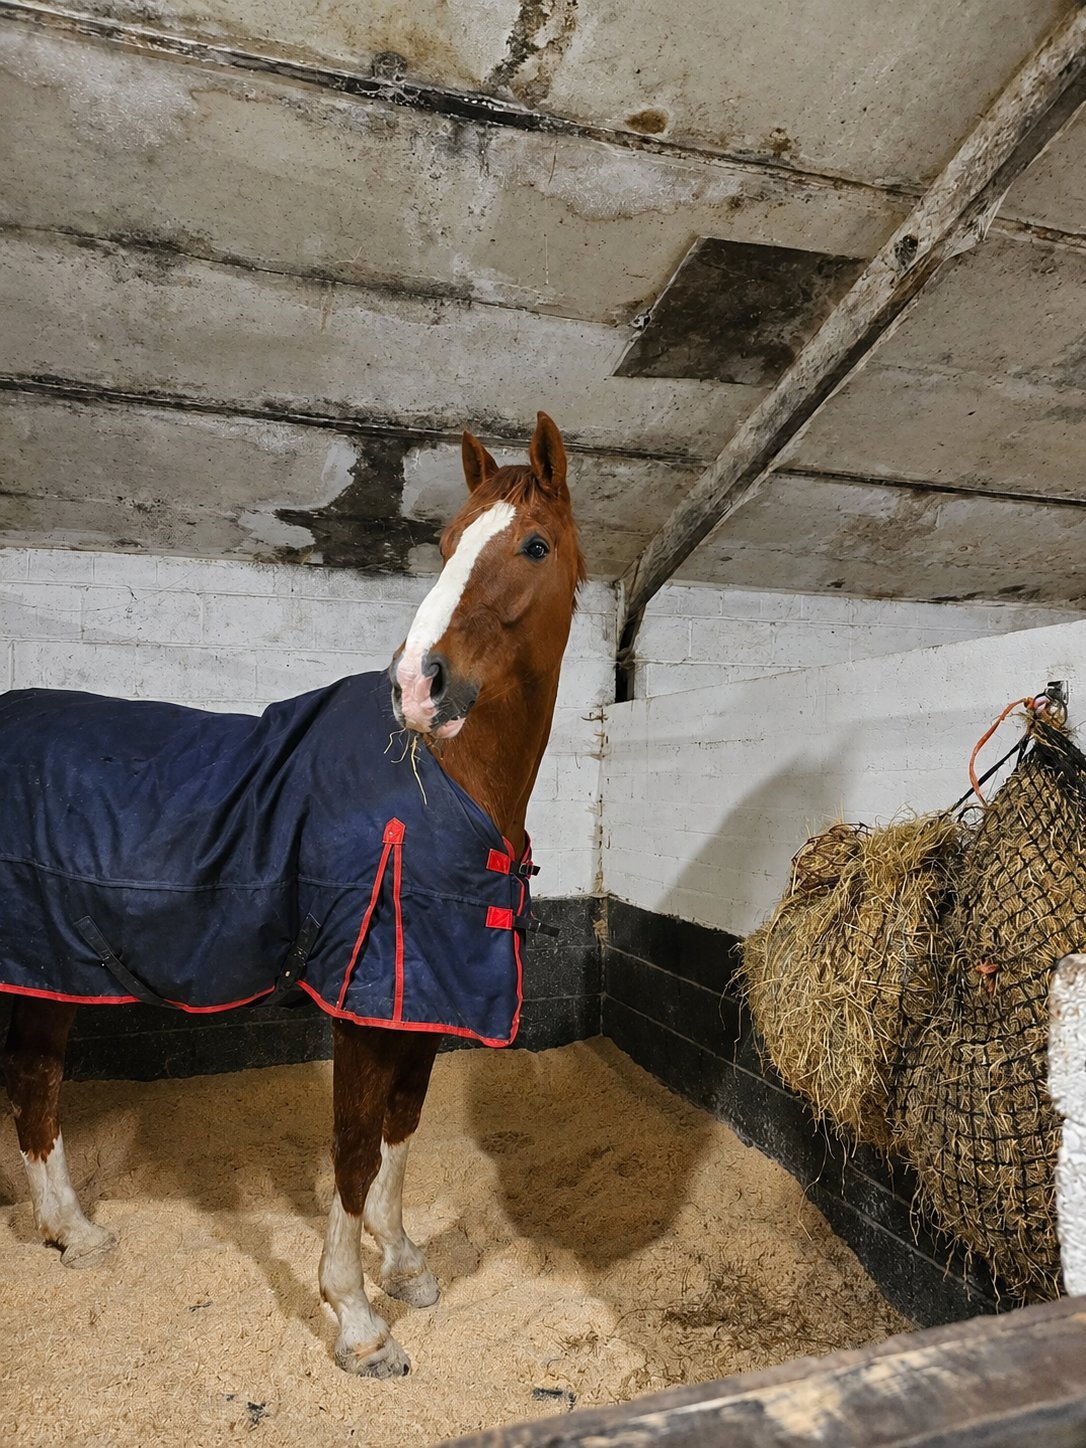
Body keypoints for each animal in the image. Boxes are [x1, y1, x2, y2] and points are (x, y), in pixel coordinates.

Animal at [1, 411, 585, 1378]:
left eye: (534, 545)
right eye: (445, 543)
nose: (418, 686)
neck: (440, 780)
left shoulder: (420, 994)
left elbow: (399, 1135)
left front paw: (405, 1264)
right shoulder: (362, 997)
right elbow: (352, 1152)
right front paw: (354, 1319)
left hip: (51, 971)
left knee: (33, 1083)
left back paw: (69, 1234)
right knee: (37, 1086)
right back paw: (76, 1231)